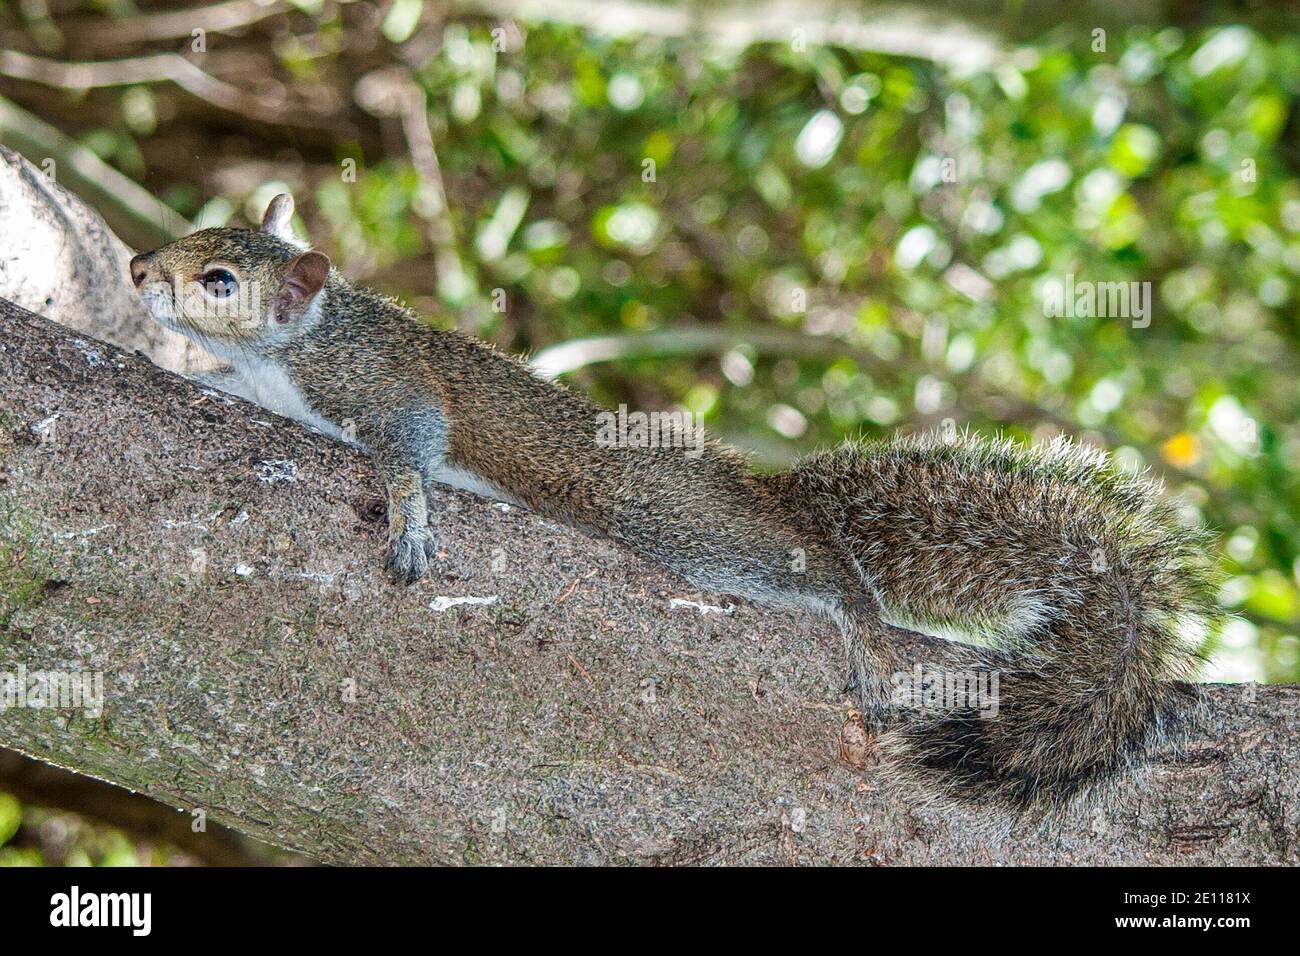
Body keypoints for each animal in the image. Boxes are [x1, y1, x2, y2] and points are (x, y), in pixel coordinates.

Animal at [129, 193, 1219, 811]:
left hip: (679, 522)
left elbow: (412, 445)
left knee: (825, 573)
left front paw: (406, 514)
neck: (297, 343)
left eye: (218, 277)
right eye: (194, 232)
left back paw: (861, 623)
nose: (139, 269)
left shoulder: (383, 383)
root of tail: (774, 492)